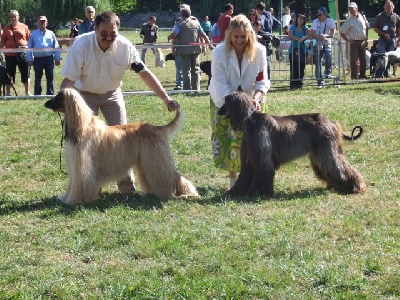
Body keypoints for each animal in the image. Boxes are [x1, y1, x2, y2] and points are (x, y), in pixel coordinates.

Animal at [220, 92, 368, 198]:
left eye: (226, 102)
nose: (218, 111)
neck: (250, 119)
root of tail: (332, 122)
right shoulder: (249, 159)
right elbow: (244, 176)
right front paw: (236, 191)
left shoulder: (262, 158)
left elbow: (263, 173)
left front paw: (258, 193)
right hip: (318, 153)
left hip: (327, 150)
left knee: (340, 167)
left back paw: (354, 187)